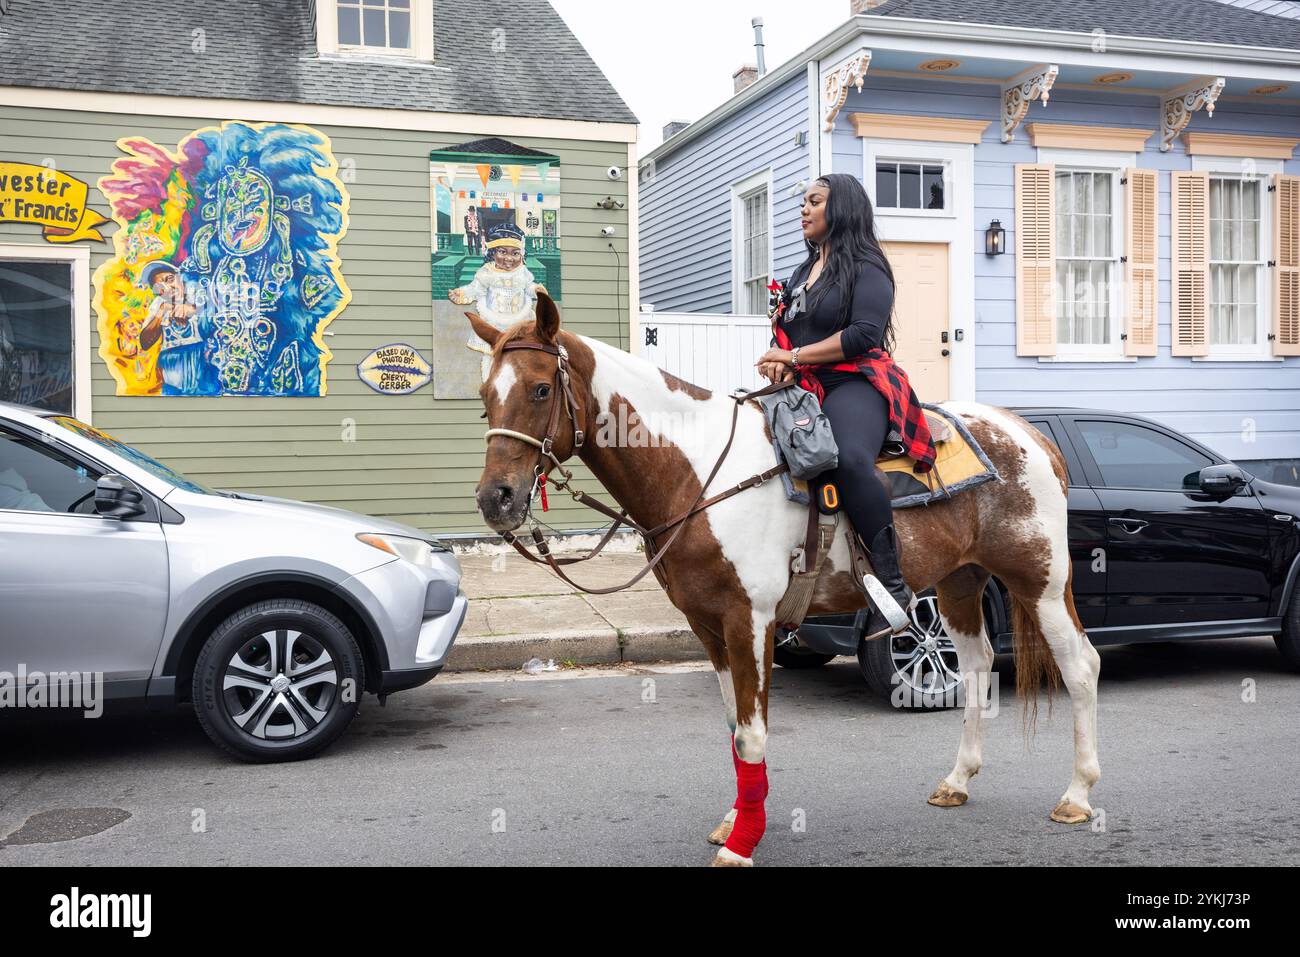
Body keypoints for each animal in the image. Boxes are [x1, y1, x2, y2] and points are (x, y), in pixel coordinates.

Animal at [473, 293, 1102, 868]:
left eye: (540, 390)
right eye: (484, 397)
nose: (495, 498)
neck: (697, 471)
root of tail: (1032, 436)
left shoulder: (748, 621)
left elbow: (751, 733)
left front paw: (742, 844)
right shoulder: (709, 627)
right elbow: (734, 727)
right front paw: (736, 821)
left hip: (1040, 582)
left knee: (1081, 666)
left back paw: (1076, 795)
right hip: (960, 584)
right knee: (975, 668)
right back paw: (958, 780)